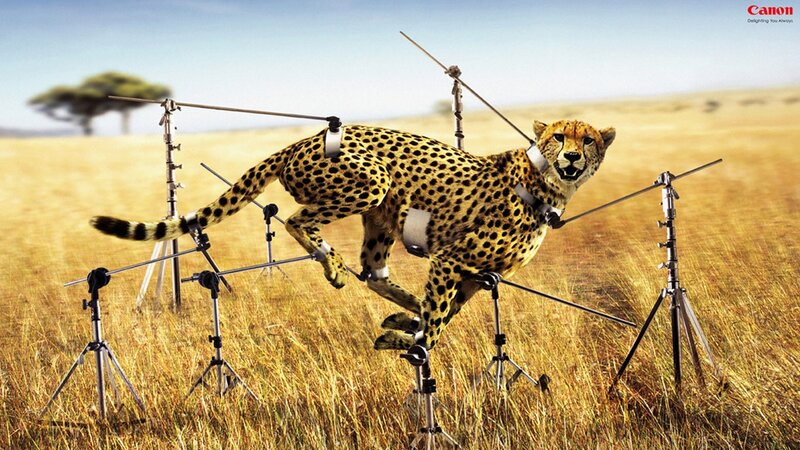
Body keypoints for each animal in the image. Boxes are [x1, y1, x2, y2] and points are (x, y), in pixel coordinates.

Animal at [91, 119, 615, 351]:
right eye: (559, 138)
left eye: (587, 139)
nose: (571, 157)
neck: (547, 184)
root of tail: (296, 141)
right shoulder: (451, 259)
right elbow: (439, 321)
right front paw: (416, 342)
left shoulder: (475, 273)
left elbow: (448, 312)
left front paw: (405, 329)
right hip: (370, 183)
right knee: (295, 221)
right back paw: (333, 265)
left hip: (382, 218)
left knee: (374, 271)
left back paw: (394, 303)